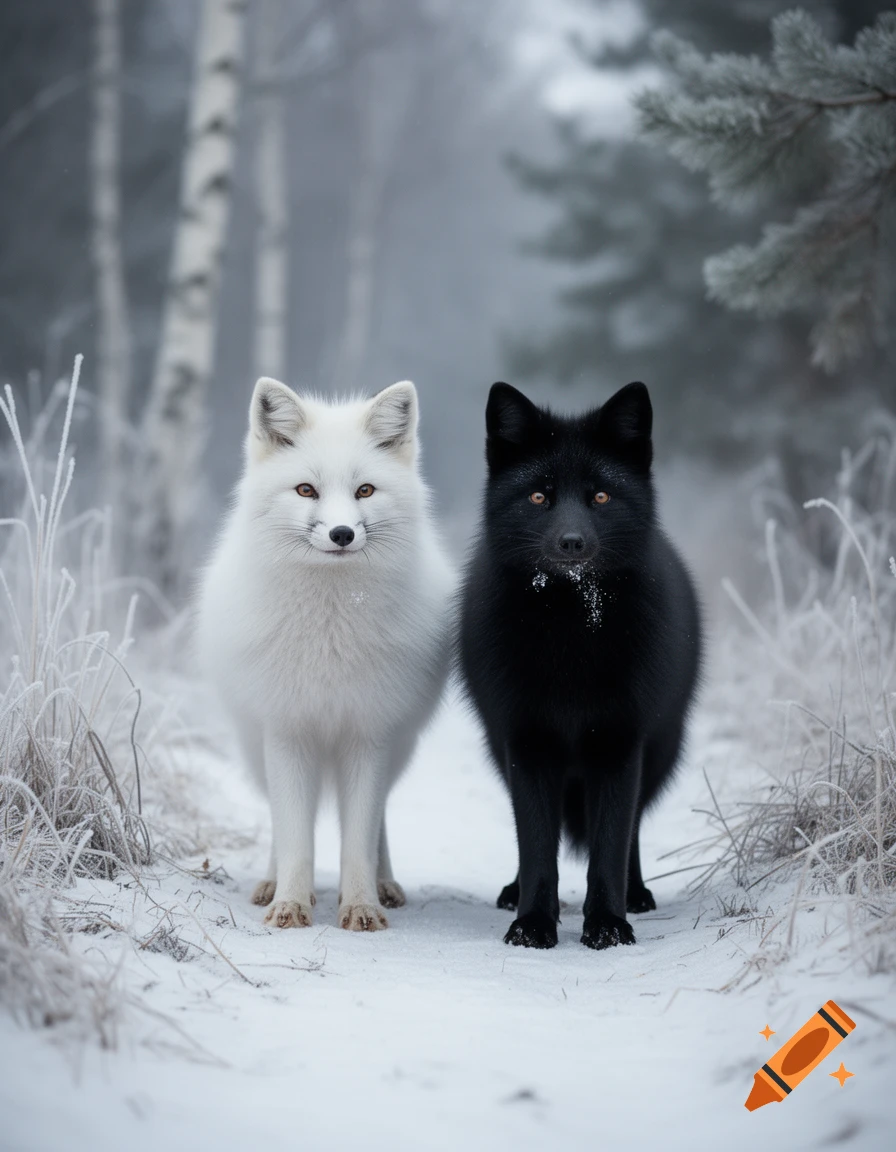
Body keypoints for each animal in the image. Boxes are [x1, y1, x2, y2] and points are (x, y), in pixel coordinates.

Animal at [197, 377, 453, 932]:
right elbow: (296, 836)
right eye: (306, 490)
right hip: (259, 749)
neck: (330, 636)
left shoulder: (368, 735)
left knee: (378, 826)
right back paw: (271, 885)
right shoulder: (288, 731)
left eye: (364, 490)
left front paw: (360, 907)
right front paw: (291, 904)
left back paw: (384, 885)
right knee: (281, 821)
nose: (341, 534)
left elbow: (358, 840)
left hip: (396, 751)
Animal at [458, 381, 702, 950]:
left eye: (601, 497)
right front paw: (532, 923)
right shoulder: (526, 744)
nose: (572, 543)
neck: (570, 633)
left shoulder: (618, 743)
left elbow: (609, 844)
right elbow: (537, 846)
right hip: (502, 753)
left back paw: (636, 894)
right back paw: (514, 892)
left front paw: (609, 923)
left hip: (658, 752)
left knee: (630, 830)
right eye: (539, 497)